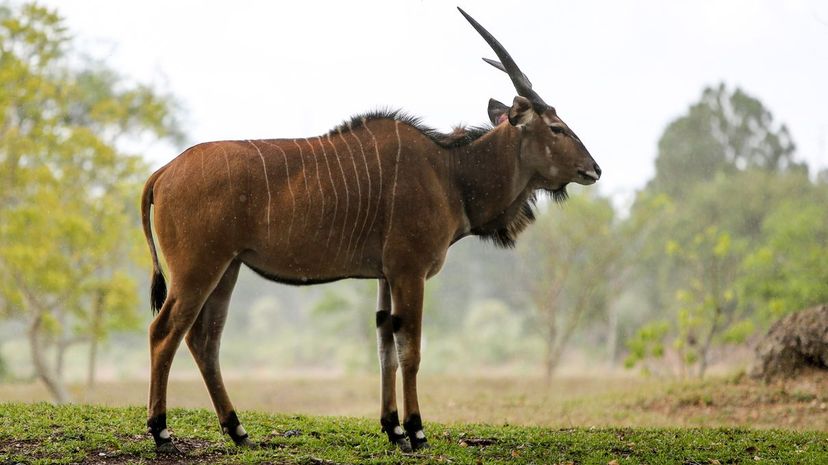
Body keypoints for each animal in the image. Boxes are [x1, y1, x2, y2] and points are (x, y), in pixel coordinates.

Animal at [139, 7, 600, 454]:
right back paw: (162, 433)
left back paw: (237, 431)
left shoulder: (384, 276)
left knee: (204, 341)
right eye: (556, 128)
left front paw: (392, 428)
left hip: (227, 270)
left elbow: (385, 349)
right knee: (165, 332)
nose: (593, 169)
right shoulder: (409, 271)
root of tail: (163, 173)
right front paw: (415, 431)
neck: (450, 172)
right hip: (198, 271)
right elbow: (410, 350)